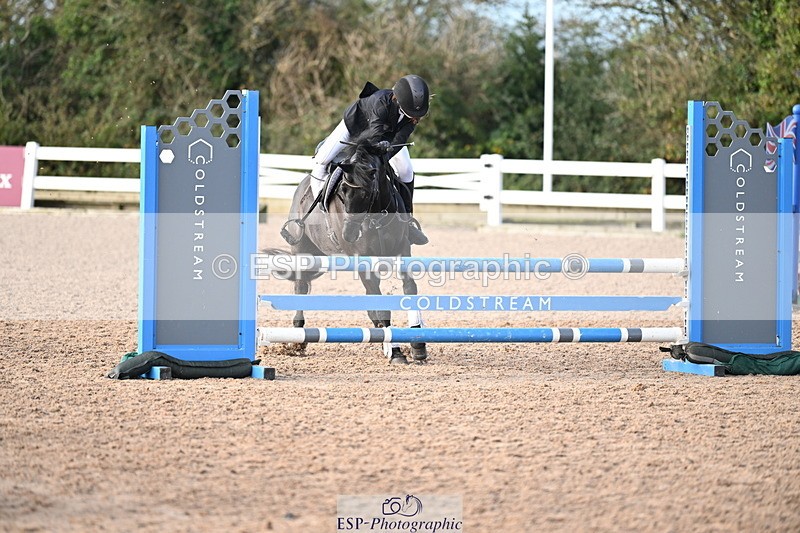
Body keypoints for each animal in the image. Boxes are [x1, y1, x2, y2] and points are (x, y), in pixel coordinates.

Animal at [266, 134, 428, 364]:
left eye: (367, 192)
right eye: (342, 191)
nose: (349, 234)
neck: (377, 217)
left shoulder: (402, 251)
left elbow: (409, 289)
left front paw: (418, 346)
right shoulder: (363, 260)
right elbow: (382, 304)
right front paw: (396, 351)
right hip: (302, 251)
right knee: (301, 286)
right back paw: (298, 338)